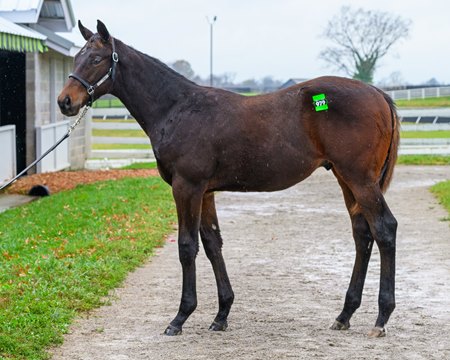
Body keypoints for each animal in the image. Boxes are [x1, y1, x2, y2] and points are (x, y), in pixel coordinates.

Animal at [58, 21, 400, 338]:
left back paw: (381, 318)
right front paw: (221, 314)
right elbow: (212, 244)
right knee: (362, 234)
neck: (177, 108)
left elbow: (187, 246)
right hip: (346, 179)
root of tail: (378, 93)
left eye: (97, 58)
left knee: (385, 229)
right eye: (77, 57)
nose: (65, 101)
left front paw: (180, 317)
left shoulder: (187, 187)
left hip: (360, 180)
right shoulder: (205, 191)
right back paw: (345, 314)